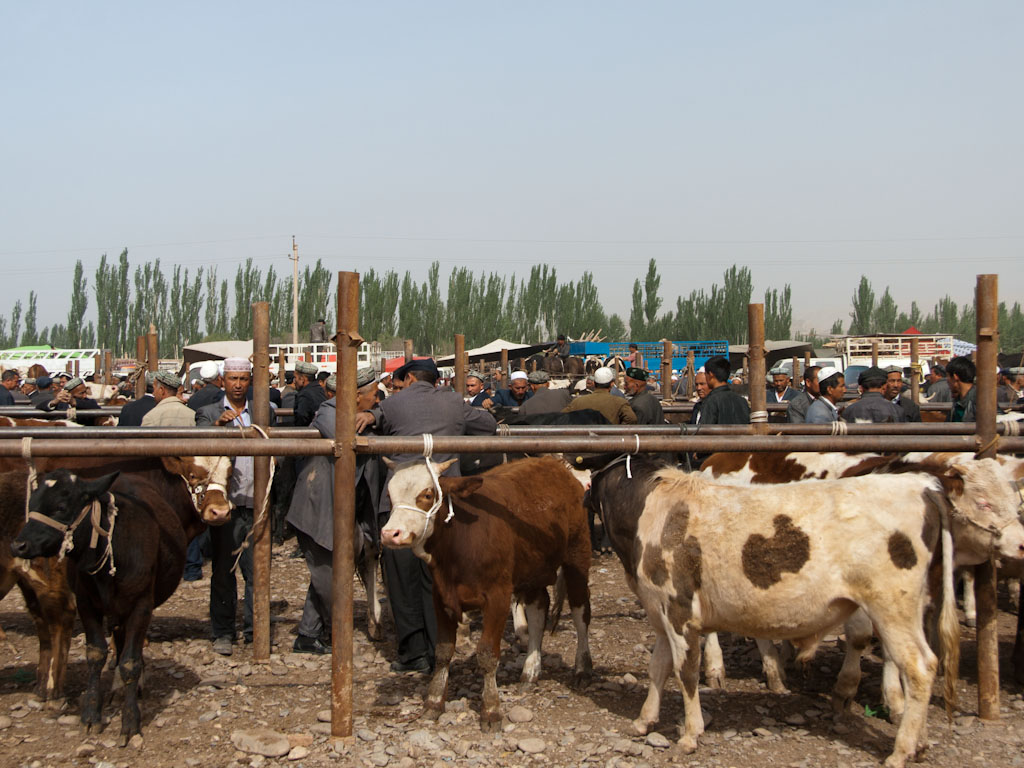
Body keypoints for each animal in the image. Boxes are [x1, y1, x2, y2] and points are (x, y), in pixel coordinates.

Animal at [382, 456, 593, 733]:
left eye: (427, 494)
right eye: (389, 495)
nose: (390, 534)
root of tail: (554, 464)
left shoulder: (497, 597)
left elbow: (487, 654)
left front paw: (491, 710)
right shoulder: (441, 597)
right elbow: (443, 651)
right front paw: (434, 702)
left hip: (577, 555)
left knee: (581, 612)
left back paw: (582, 669)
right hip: (533, 568)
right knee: (538, 610)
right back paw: (530, 671)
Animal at [585, 456, 1024, 768]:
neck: (653, 510)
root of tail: (921, 486)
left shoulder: (678, 610)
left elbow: (686, 672)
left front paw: (690, 734)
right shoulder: (660, 612)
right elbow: (659, 668)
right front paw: (645, 719)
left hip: (891, 607)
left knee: (918, 666)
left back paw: (900, 751)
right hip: (914, 609)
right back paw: (917, 742)